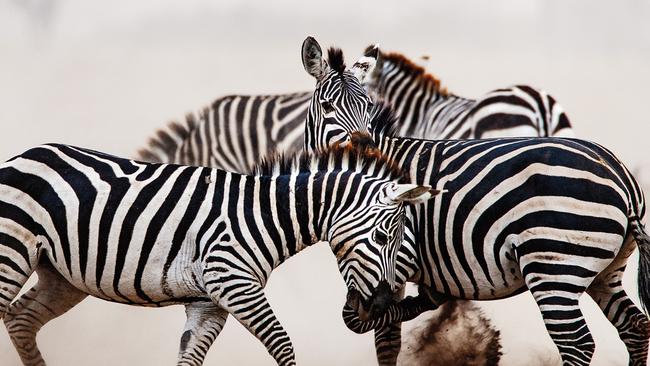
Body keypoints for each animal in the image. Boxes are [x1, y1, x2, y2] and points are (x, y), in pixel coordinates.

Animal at [1, 142, 436, 364]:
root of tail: (24, 154)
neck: (262, 216)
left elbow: (190, 357)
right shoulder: (232, 283)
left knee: (22, 320)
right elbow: (282, 343)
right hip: (11, 252)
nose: (381, 304)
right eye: (384, 236)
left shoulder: (207, 303)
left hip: (61, 276)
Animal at [302, 41, 648, 364]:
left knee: (577, 343)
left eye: (368, 105)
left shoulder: (392, 259)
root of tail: (621, 177)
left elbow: (374, 331)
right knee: (635, 326)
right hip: (605, 271)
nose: (365, 147)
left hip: (554, 267)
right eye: (327, 105)